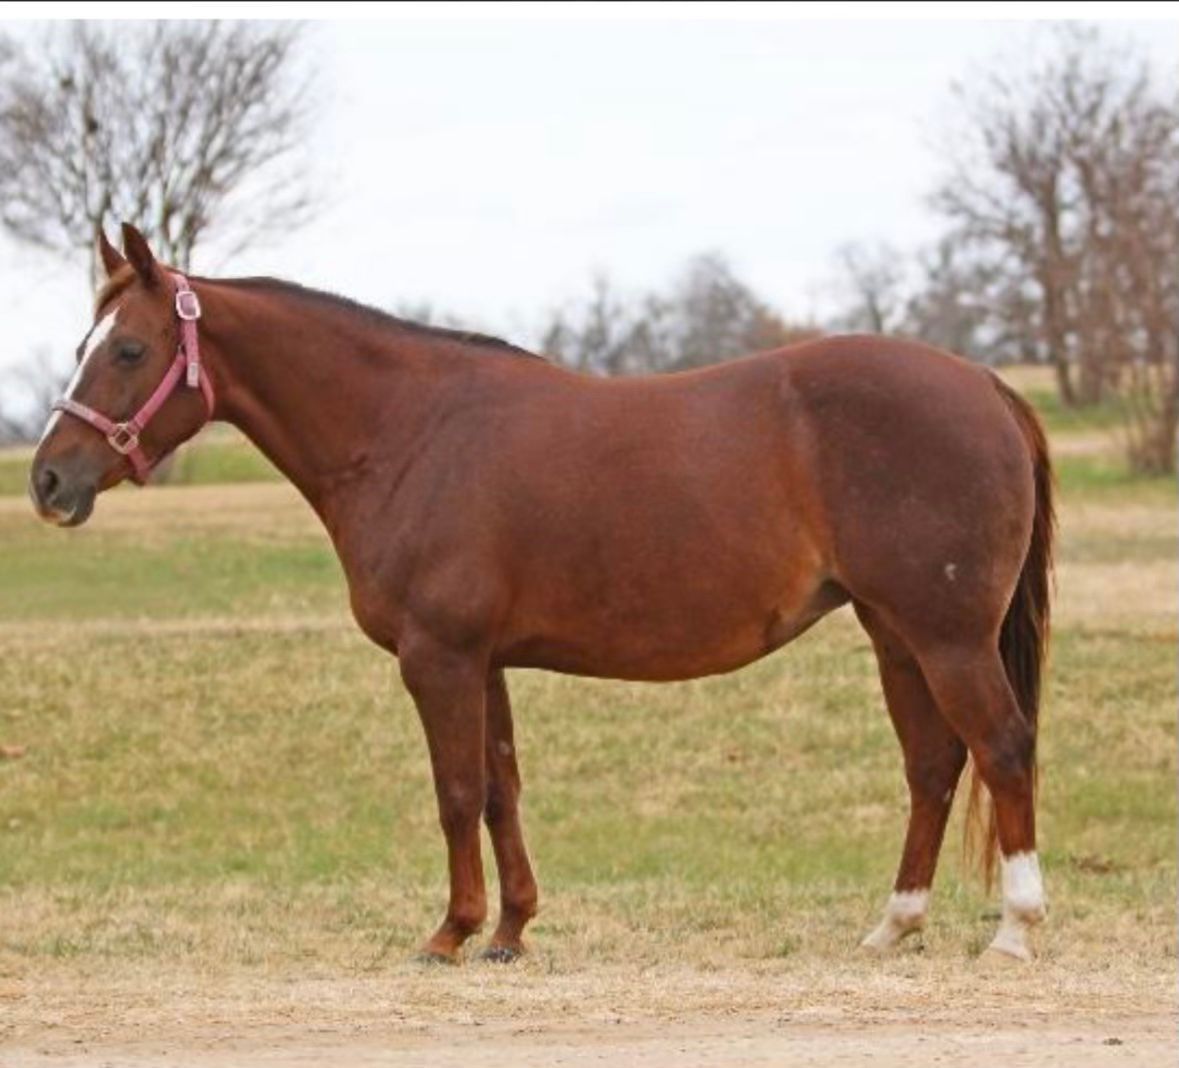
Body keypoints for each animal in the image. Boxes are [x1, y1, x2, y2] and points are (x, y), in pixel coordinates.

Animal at [29, 224, 1053, 964]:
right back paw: (893, 926)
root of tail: (985, 385)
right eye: (85, 342)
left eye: (127, 350)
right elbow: (499, 790)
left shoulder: (437, 659)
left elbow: (454, 792)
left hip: (946, 635)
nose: (47, 480)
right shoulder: (483, 662)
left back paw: (1014, 929)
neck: (407, 433)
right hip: (895, 633)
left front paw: (448, 934)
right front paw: (510, 931)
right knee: (931, 764)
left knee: (999, 747)